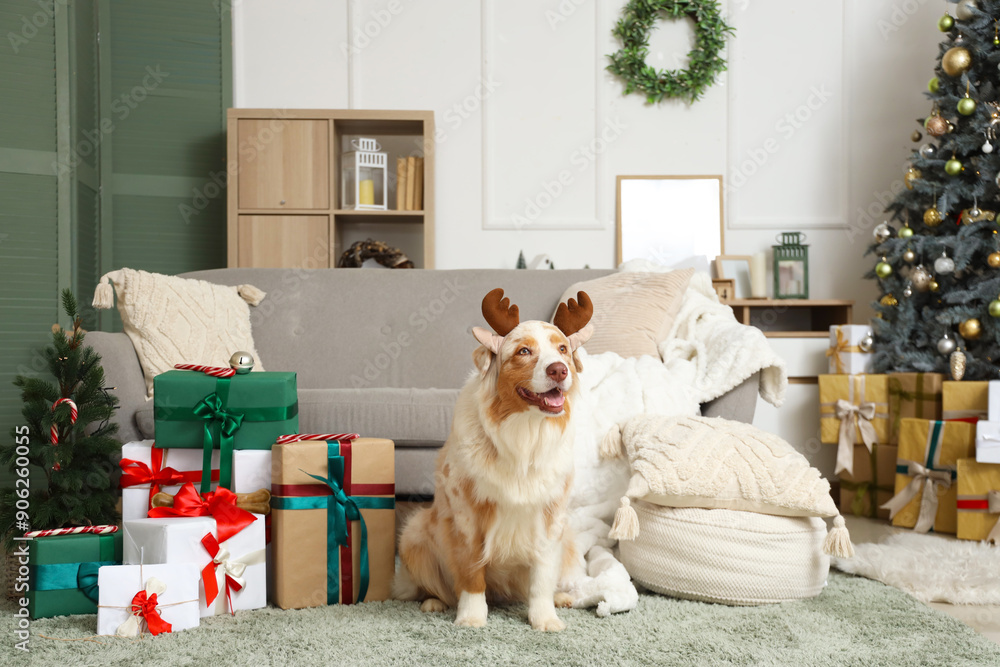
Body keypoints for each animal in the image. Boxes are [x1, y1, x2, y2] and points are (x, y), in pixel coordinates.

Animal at [392, 288, 592, 632]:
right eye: (524, 351)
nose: (559, 370)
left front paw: (545, 619)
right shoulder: (466, 514)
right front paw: (472, 617)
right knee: (432, 588)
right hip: (413, 533)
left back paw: (562, 598)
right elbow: (471, 573)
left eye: (563, 349)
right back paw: (434, 603)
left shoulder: (551, 516)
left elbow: (542, 575)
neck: (524, 435)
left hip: (571, 543)